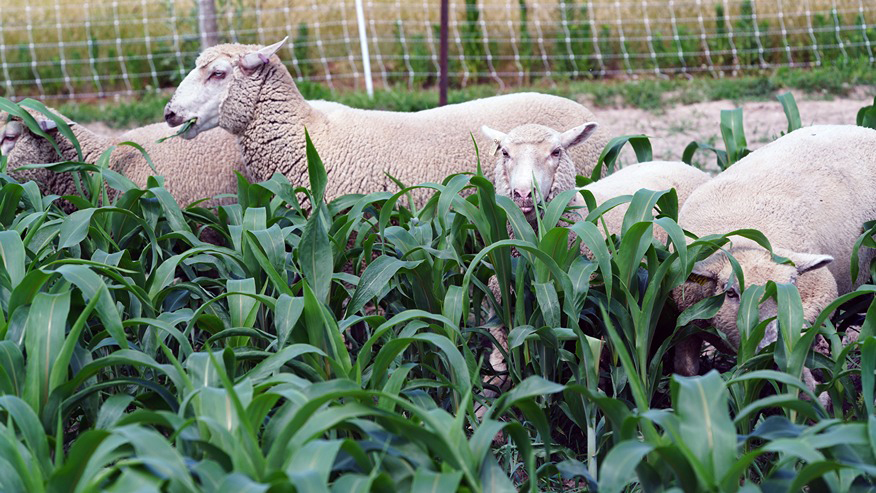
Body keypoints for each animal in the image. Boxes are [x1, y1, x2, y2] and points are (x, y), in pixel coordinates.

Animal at [480, 121, 712, 414]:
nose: (522, 195)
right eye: (505, 153)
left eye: (556, 151)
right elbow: (498, 371)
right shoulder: (502, 312)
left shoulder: (598, 318)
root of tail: (682, 164)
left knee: (687, 351)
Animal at [672, 124, 876, 384]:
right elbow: (686, 370)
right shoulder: (686, 319)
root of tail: (861, 127)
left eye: (791, 286)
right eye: (731, 293)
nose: (770, 344)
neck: (745, 240)